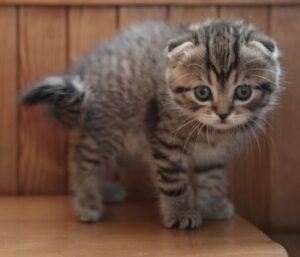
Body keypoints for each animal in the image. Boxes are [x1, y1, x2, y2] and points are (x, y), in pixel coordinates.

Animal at [21, 19, 282, 229]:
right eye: (202, 93)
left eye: (243, 92)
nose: (223, 114)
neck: (213, 131)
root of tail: (84, 70)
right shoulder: (165, 140)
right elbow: (174, 181)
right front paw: (181, 212)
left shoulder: (214, 153)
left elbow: (213, 176)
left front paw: (212, 204)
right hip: (111, 127)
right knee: (83, 157)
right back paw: (87, 200)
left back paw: (104, 190)